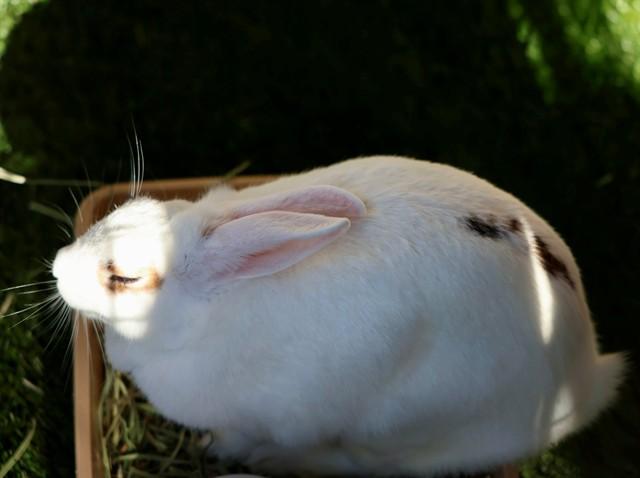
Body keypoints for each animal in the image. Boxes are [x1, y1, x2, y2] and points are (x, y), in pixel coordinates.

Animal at [52, 156, 624, 477]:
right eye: (122, 212)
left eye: (123, 278)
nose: (56, 267)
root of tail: (586, 373)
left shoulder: (252, 417)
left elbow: (236, 435)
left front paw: (214, 451)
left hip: (402, 431)